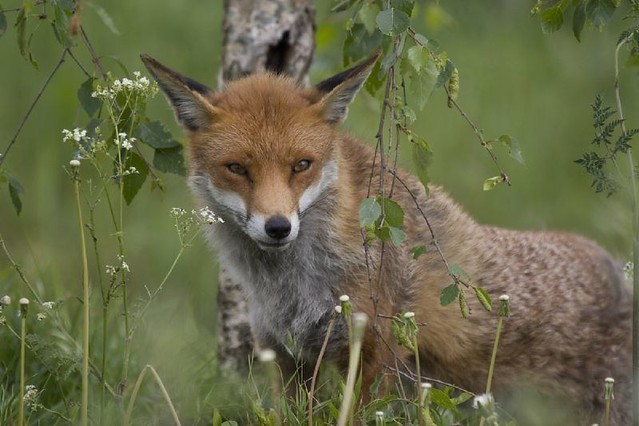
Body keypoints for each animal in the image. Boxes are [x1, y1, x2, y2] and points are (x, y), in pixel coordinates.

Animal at [141, 51, 636, 424]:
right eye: (237, 168)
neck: (291, 285)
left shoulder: (375, 348)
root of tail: (618, 274)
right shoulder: (286, 354)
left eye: (301, 165)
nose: (278, 226)